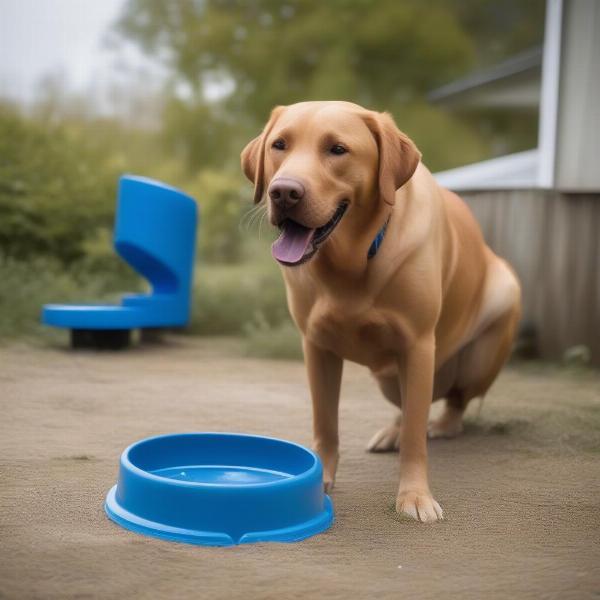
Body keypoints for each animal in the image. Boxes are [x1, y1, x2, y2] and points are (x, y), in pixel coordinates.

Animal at [239, 102, 520, 520]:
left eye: (337, 149)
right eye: (279, 145)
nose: (284, 192)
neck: (351, 262)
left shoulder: (417, 345)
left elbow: (416, 437)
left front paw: (415, 496)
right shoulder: (316, 348)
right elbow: (326, 423)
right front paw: (321, 478)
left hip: (483, 344)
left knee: (450, 400)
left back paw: (443, 424)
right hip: (389, 377)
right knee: (407, 402)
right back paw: (392, 431)